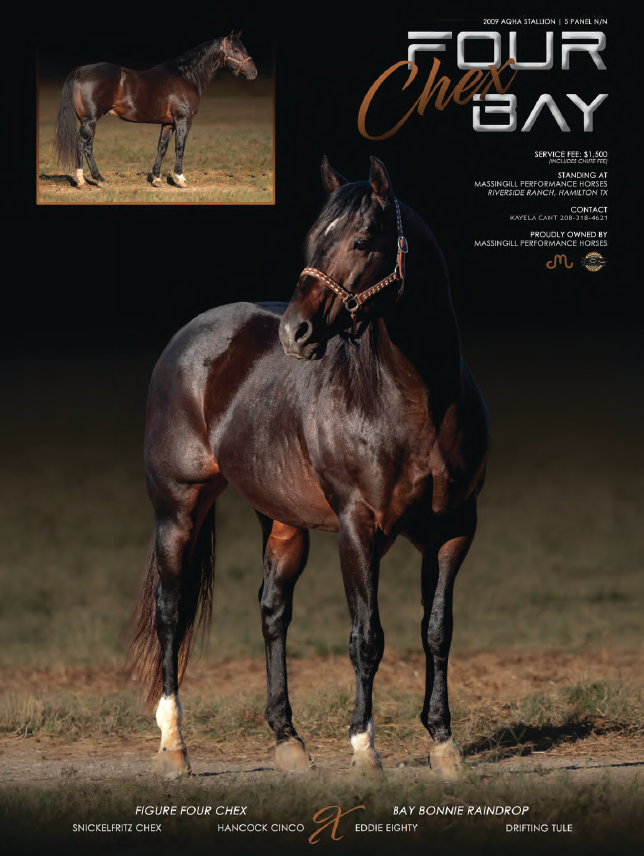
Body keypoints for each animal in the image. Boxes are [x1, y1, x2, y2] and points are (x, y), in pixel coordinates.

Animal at [53, 32, 257, 190]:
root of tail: (79, 71)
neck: (186, 77)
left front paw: (157, 179)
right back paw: (91, 180)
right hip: (90, 120)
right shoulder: (183, 120)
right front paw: (180, 179)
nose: (253, 72)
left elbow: (162, 147)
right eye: (236, 50)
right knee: (85, 145)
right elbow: (180, 147)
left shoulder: (167, 123)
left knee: (83, 145)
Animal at [127, 156, 490, 780]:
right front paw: (365, 749)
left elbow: (437, 632)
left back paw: (287, 741)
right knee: (170, 614)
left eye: (362, 240)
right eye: (313, 241)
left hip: (283, 522)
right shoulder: (357, 527)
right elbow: (366, 637)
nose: (293, 333)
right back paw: (174, 746)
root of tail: (187, 340)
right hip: (178, 509)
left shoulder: (453, 530)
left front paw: (444, 745)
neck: (413, 404)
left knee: (273, 611)